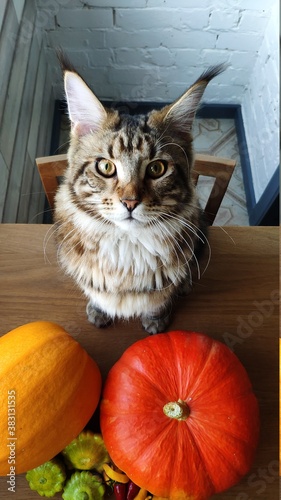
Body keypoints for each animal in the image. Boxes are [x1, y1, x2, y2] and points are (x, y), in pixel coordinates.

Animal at [54, 60, 224, 334]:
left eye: (157, 168)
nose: (130, 202)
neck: (125, 247)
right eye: (106, 167)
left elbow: (159, 300)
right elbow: (97, 291)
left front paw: (156, 321)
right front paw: (100, 310)